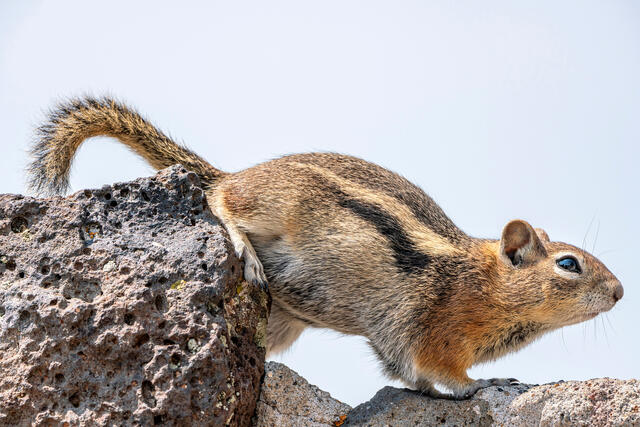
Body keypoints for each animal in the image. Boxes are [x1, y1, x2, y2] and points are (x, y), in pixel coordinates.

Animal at [27, 96, 624, 399]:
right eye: (569, 264)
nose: (620, 292)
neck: (484, 284)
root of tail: (241, 171)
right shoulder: (435, 333)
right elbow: (446, 375)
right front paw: (486, 382)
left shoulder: (397, 342)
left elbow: (406, 376)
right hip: (274, 206)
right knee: (218, 197)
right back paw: (240, 242)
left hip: (283, 321)